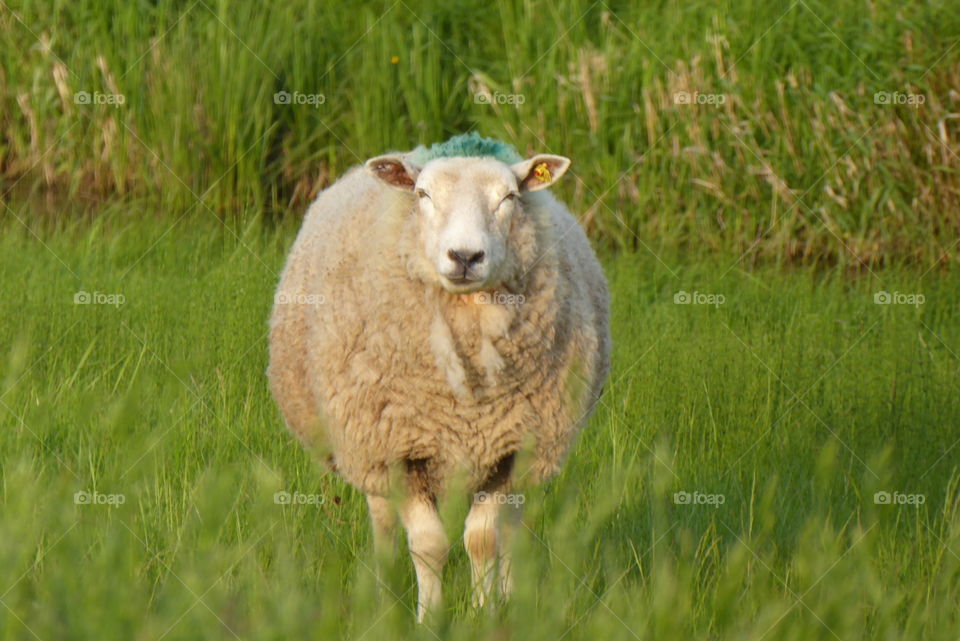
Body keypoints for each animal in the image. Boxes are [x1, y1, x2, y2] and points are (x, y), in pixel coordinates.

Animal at [268, 132, 610, 620]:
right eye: (423, 194)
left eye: (509, 197)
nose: (465, 256)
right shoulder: (399, 448)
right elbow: (429, 544)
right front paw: (429, 617)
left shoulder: (510, 446)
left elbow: (483, 540)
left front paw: (486, 613)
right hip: (366, 445)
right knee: (383, 519)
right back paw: (384, 589)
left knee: (512, 526)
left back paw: (512, 597)